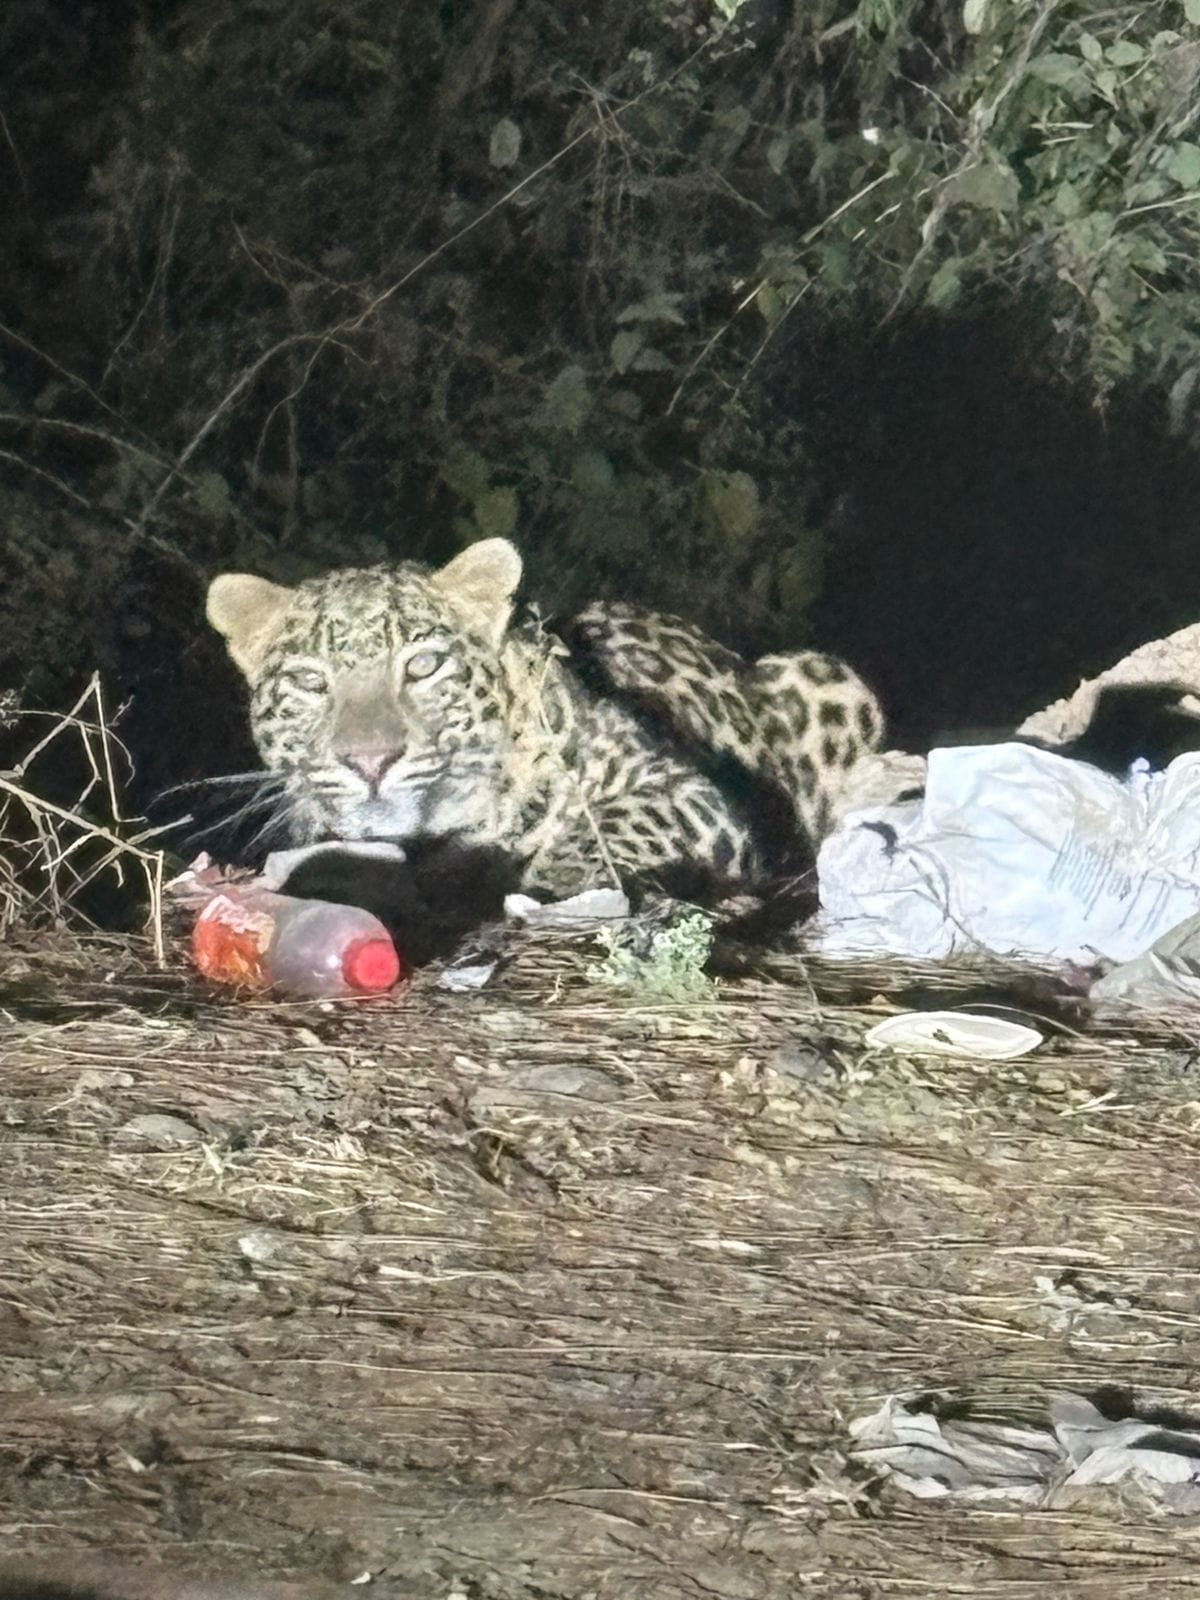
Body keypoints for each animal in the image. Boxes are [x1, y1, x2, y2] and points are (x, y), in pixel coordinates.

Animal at [206, 537, 883, 903]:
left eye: (423, 665)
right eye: (310, 682)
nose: (370, 762)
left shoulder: (686, 793)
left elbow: (609, 825)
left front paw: (550, 877)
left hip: (822, 677)